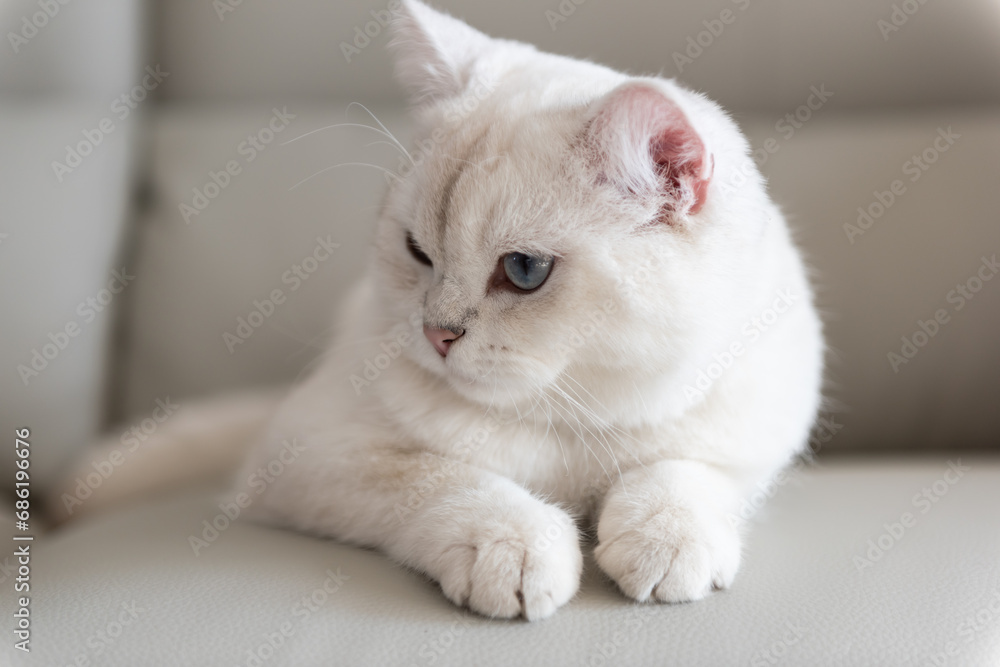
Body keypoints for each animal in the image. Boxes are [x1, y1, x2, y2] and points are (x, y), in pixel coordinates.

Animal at [54, 2, 824, 624]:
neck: (571, 419)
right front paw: (517, 548)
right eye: (417, 251)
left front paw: (663, 542)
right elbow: (447, 478)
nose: (437, 334)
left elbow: (683, 472)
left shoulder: (746, 441)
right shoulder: (311, 452)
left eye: (524, 271)